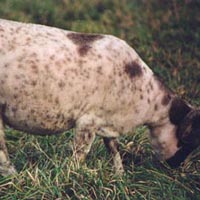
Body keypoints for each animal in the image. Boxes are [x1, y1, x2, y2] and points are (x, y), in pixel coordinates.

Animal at [0, 18, 200, 176]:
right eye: (187, 141)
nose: (175, 167)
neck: (150, 102)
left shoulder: (108, 123)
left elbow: (114, 150)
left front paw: (120, 176)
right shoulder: (88, 121)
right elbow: (81, 154)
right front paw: (74, 174)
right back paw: (15, 176)